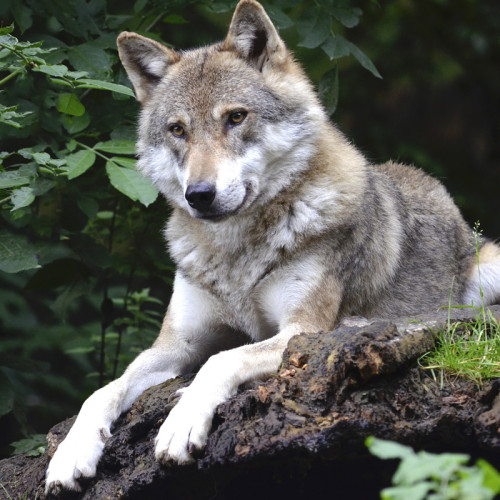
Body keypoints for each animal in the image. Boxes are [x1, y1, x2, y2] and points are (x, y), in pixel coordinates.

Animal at [44, 0, 500, 492]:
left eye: (235, 117)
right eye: (178, 130)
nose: (198, 195)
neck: (235, 253)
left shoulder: (300, 331)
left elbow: (221, 360)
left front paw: (181, 422)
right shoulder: (175, 345)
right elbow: (103, 390)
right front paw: (71, 453)